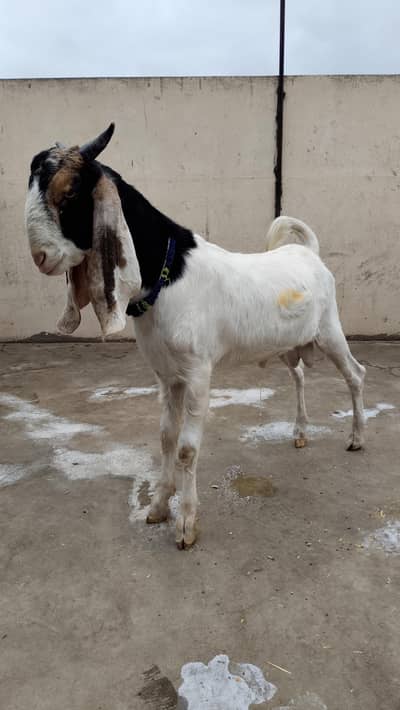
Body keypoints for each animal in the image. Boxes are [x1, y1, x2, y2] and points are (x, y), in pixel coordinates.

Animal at [25, 123, 366, 548]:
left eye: (69, 191)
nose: (41, 257)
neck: (168, 274)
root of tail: (310, 254)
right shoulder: (167, 374)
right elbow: (166, 437)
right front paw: (158, 506)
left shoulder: (198, 371)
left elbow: (187, 449)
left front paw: (186, 524)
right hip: (290, 344)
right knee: (300, 375)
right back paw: (301, 432)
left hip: (330, 330)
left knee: (355, 374)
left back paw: (356, 438)